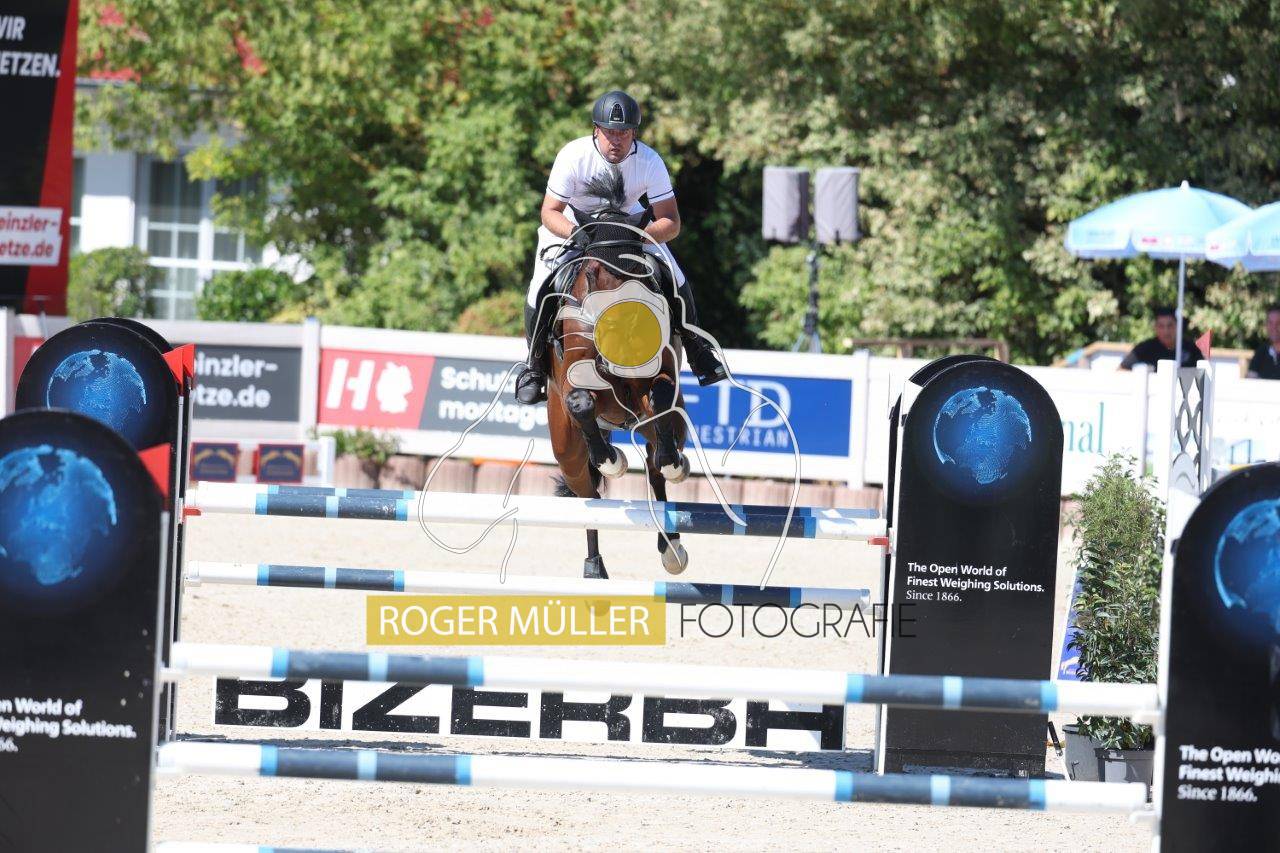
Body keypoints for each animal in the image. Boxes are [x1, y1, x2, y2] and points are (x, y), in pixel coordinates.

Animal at [540, 168, 693, 580]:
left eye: (638, 270)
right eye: (592, 274)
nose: (616, 334)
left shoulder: (655, 384)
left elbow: (659, 395)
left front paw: (670, 462)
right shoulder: (576, 385)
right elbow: (581, 402)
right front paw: (612, 459)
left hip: (668, 423)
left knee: (658, 465)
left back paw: (671, 544)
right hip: (566, 447)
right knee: (588, 495)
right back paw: (594, 566)